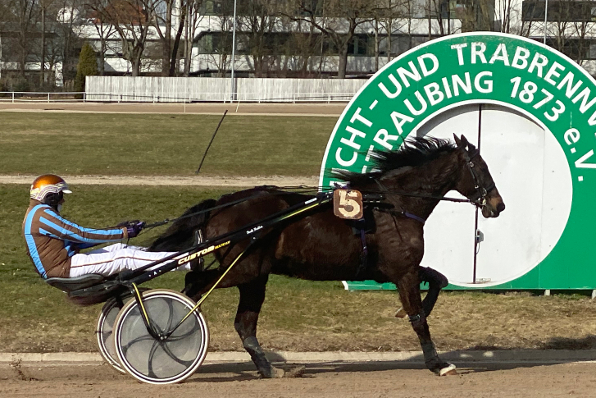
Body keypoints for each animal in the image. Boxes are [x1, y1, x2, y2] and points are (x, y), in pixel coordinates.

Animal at [150, 135, 508, 378]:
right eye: (481, 167)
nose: (498, 205)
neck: (392, 204)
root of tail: (220, 205)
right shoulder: (402, 270)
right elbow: (419, 318)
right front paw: (437, 363)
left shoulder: (394, 269)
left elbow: (438, 279)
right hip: (244, 269)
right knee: (194, 282)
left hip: (256, 276)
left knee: (243, 324)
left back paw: (269, 369)